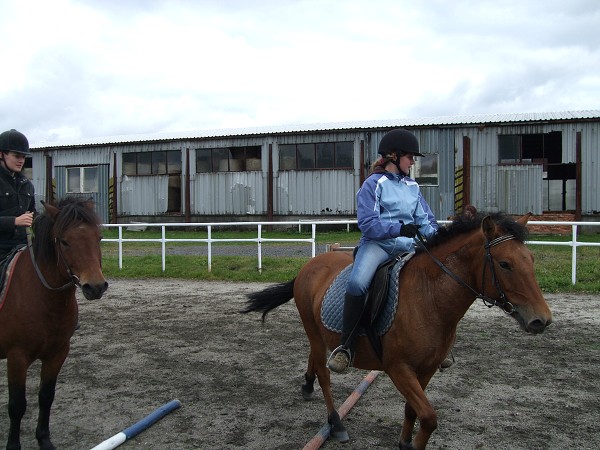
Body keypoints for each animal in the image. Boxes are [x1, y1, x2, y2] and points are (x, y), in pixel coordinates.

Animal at [0, 199, 108, 450]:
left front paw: (44, 439)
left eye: (98, 238)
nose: (95, 287)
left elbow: (46, 396)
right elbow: (16, 405)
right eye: (64, 241)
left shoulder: (58, 352)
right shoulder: (17, 357)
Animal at [241, 209, 552, 448]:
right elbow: (428, 417)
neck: (429, 296)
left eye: (531, 260)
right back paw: (336, 423)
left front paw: (404, 442)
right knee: (324, 373)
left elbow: (413, 410)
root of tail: (311, 265)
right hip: (313, 330)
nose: (542, 320)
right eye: (505, 264)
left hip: (319, 333)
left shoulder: (426, 369)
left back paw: (307, 385)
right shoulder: (398, 368)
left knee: (315, 361)